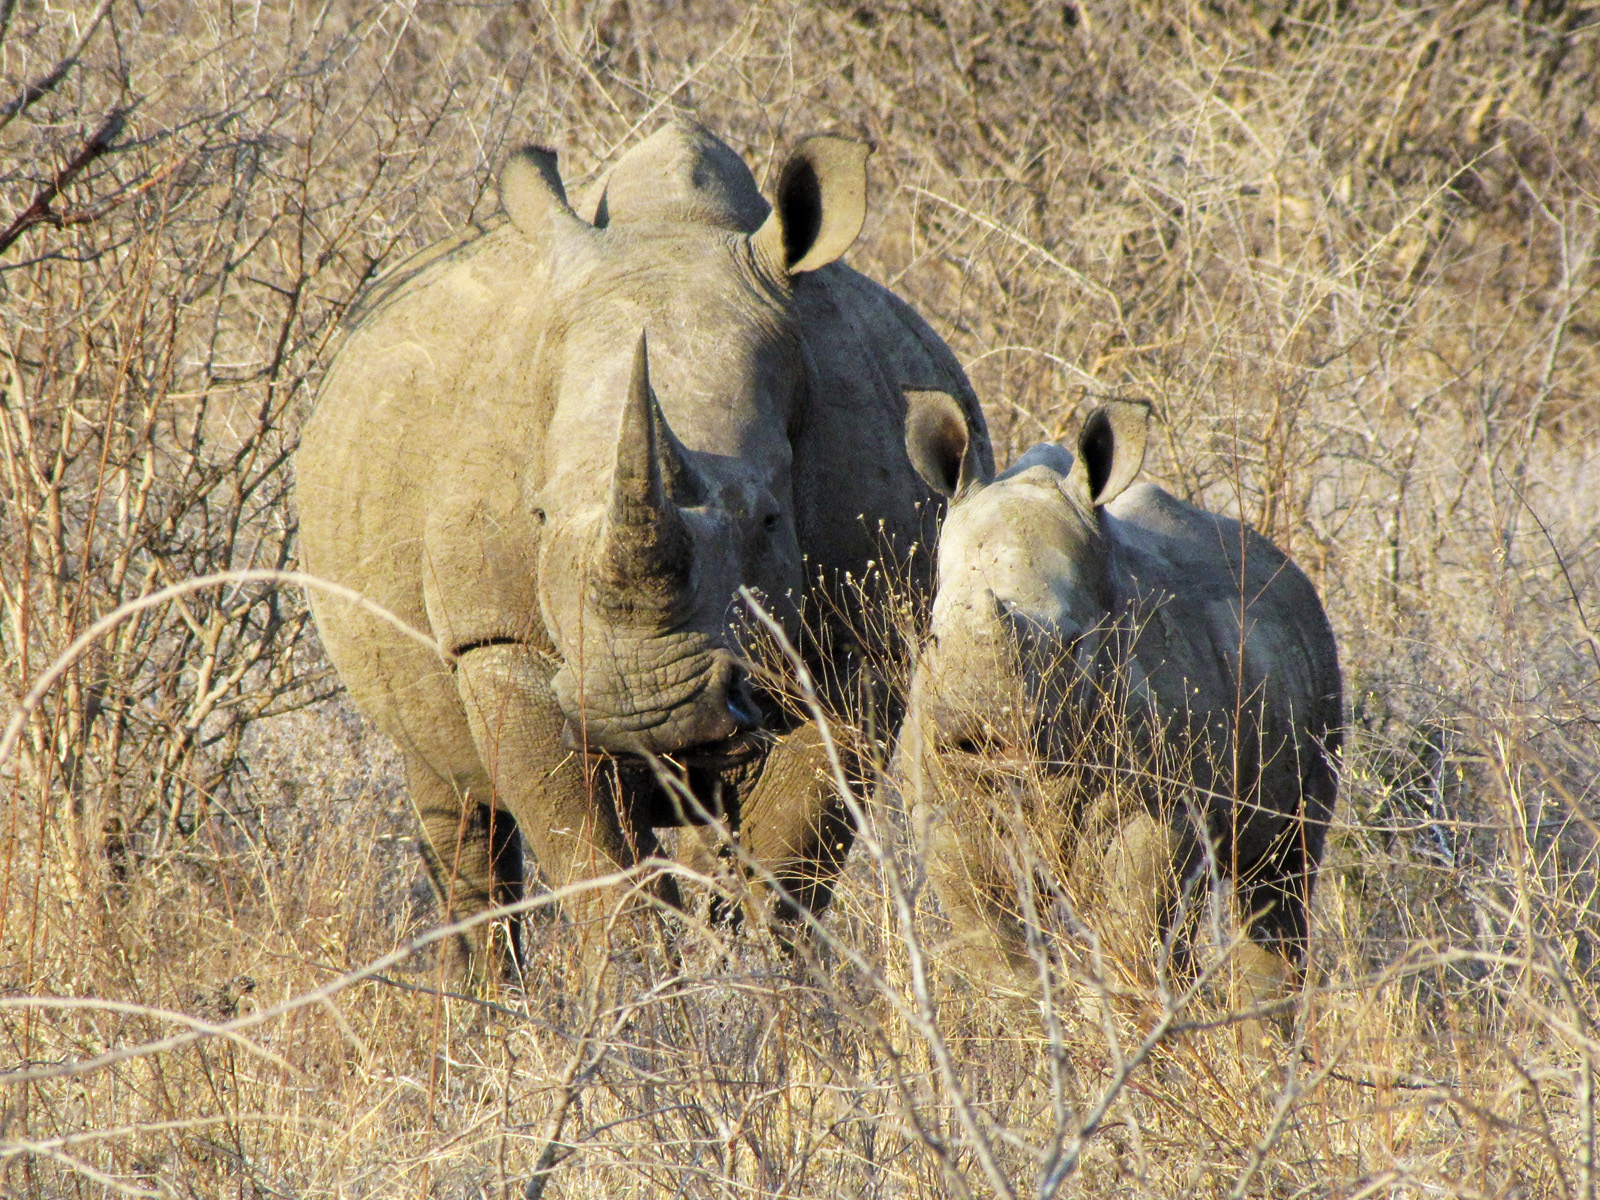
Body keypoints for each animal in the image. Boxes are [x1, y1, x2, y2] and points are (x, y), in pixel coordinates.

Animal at [295, 120, 990, 968]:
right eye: (538, 518)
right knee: (454, 802)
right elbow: (594, 862)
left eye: (769, 519)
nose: (644, 706)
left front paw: (762, 983)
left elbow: (791, 854)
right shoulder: (495, 639)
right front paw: (639, 988)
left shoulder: (865, 636)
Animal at [899, 394, 1340, 1007]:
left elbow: (1131, 922)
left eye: (1072, 643)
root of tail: (1286, 565)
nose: (980, 731)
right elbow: (996, 946)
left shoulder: (1162, 807)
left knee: (1281, 872)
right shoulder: (945, 804)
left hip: (1318, 661)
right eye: (934, 639)